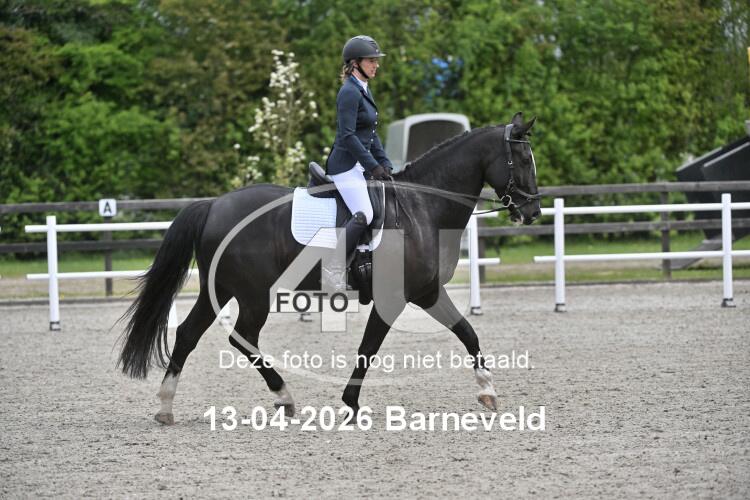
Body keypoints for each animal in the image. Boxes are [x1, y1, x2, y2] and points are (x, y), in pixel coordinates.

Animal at [117, 112, 541, 425]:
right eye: (522, 160)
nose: (533, 212)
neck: (422, 208)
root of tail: (214, 204)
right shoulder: (395, 298)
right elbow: (369, 348)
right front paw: (350, 403)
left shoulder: (427, 292)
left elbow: (467, 331)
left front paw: (488, 391)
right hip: (253, 294)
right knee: (242, 337)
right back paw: (284, 396)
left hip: (219, 288)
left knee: (189, 334)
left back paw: (166, 406)